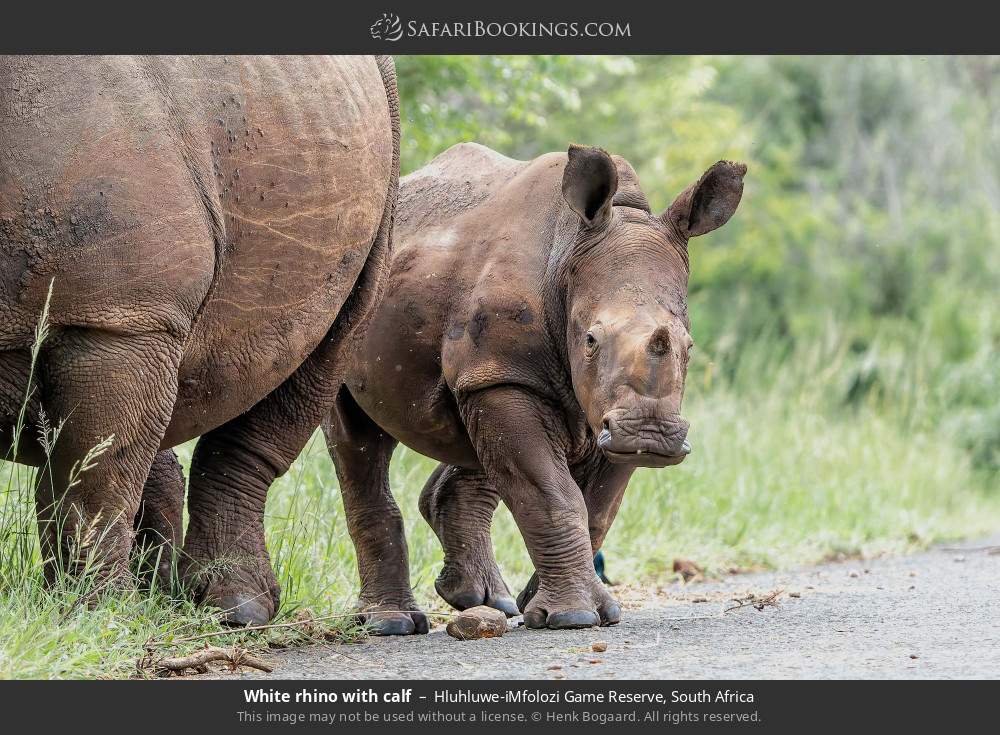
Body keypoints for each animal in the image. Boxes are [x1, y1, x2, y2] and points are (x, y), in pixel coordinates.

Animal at [0, 55, 399, 626]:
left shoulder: (123, 317)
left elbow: (92, 472)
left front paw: (91, 614)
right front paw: (99, 608)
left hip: (381, 121)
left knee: (331, 341)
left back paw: (233, 608)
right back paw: (163, 593)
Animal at [323, 142, 746, 632]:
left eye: (689, 346)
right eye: (590, 340)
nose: (651, 436)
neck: (569, 254)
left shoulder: (599, 410)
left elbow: (598, 508)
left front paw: (559, 608)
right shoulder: (507, 373)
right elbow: (551, 493)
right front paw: (573, 615)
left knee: (473, 437)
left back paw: (486, 600)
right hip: (350, 302)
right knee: (357, 438)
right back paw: (391, 623)